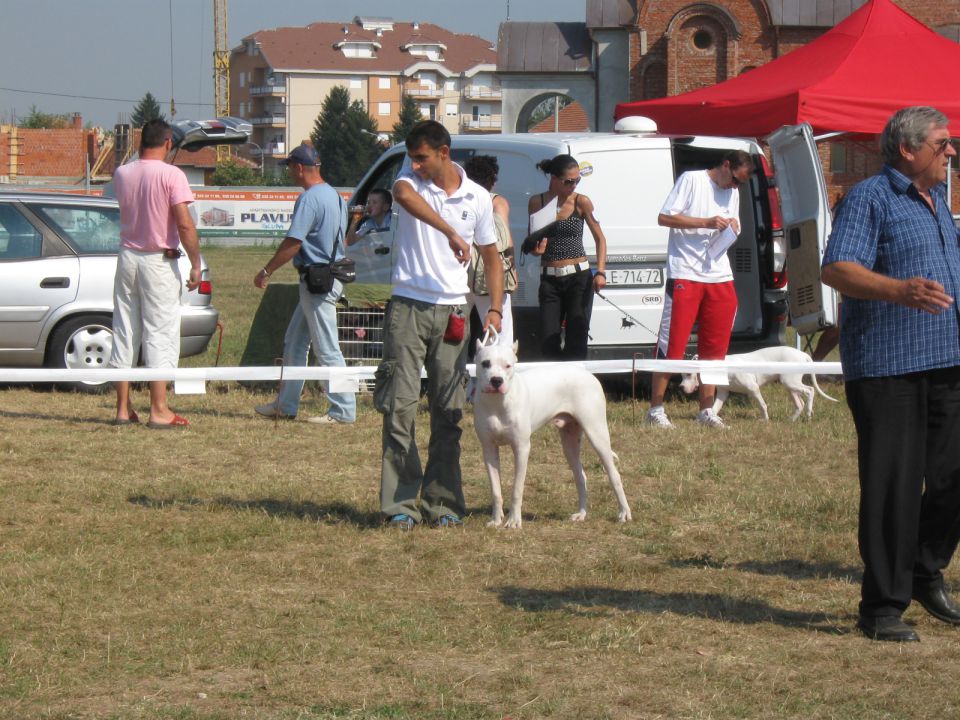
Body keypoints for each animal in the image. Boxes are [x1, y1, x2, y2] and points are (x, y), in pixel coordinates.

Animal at [470, 334, 632, 528]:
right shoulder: (489, 449)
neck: (497, 403)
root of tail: (589, 375)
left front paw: (514, 521)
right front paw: (496, 520)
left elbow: (517, 489)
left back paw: (624, 512)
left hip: (597, 434)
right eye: (485, 363)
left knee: (614, 474)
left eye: (508, 366)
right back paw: (581, 514)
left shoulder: (521, 448)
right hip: (569, 442)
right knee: (581, 477)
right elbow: (495, 490)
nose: (496, 380)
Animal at [680, 344, 836, 420]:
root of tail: (803, 354)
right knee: (799, 404)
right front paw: (710, 419)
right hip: (790, 386)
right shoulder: (723, 393)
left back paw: (809, 413)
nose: (681, 387)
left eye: (688, 374)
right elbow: (714, 408)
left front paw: (765, 419)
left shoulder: (753, 388)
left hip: (791, 383)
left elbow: (762, 405)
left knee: (810, 391)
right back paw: (791, 420)